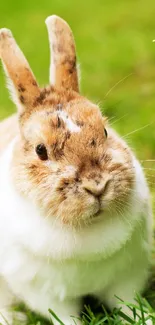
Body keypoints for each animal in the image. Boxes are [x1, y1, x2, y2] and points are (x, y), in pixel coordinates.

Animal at [0, 14, 153, 324]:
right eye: (41, 150)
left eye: (105, 130)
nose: (97, 185)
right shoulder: (46, 294)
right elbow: (66, 317)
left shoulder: (127, 276)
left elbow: (129, 304)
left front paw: (146, 318)